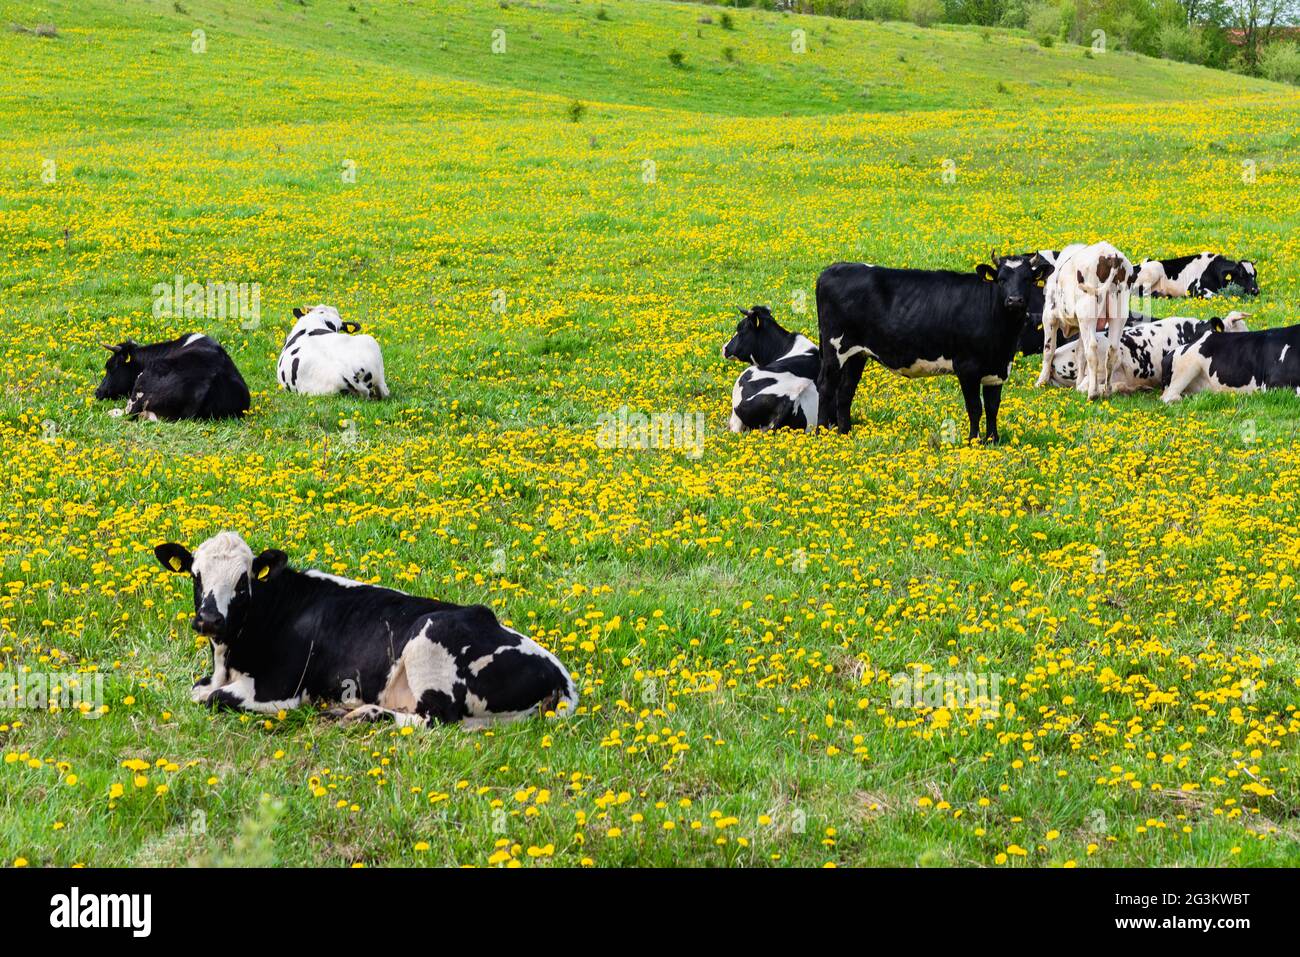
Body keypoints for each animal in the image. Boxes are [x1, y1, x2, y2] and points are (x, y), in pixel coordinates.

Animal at [153, 532, 577, 727]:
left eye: (243, 583)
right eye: (195, 576)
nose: (210, 619)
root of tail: (561, 675)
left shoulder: (281, 689)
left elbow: (212, 698)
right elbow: (199, 690)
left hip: (430, 639)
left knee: (436, 719)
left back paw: (364, 714)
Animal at [815, 255, 1049, 442]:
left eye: (1027, 279)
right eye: (1001, 279)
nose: (1014, 300)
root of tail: (834, 268)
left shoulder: (998, 369)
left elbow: (993, 407)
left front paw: (993, 440)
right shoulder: (967, 367)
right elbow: (975, 407)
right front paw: (973, 441)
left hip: (856, 354)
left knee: (846, 391)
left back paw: (844, 432)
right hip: (834, 349)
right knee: (826, 387)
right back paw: (820, 433)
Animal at [1036, 242, 1134, 400]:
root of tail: (1111, 255)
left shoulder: (1050, 316)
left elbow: (1049, 350)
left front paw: (1041, 381)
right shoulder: (1079, 325)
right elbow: (1080, 353)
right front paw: (1079, 382)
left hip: (1087, 314)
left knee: (1092, 351)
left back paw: (1092, 393)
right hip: (1117, 315)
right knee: (1112, 351)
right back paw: (1106, 390)